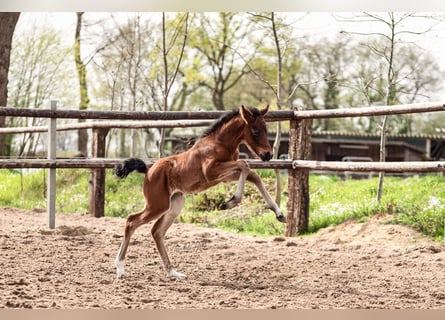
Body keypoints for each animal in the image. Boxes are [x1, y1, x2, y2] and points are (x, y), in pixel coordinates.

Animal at [112, 106, 282, 278]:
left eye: (266, 129)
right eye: (255, 130)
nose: (268, 155)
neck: (219, 143)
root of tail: (148, 170)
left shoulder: (225, 177)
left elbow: (252, 174)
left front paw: (279, 213)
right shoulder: (211, 172)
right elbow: (244, 164)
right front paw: (231, 202)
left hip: (174, 205)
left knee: (157, 232)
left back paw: (173, 272)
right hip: (156, 205)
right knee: (131, 221)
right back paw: (120, 267)